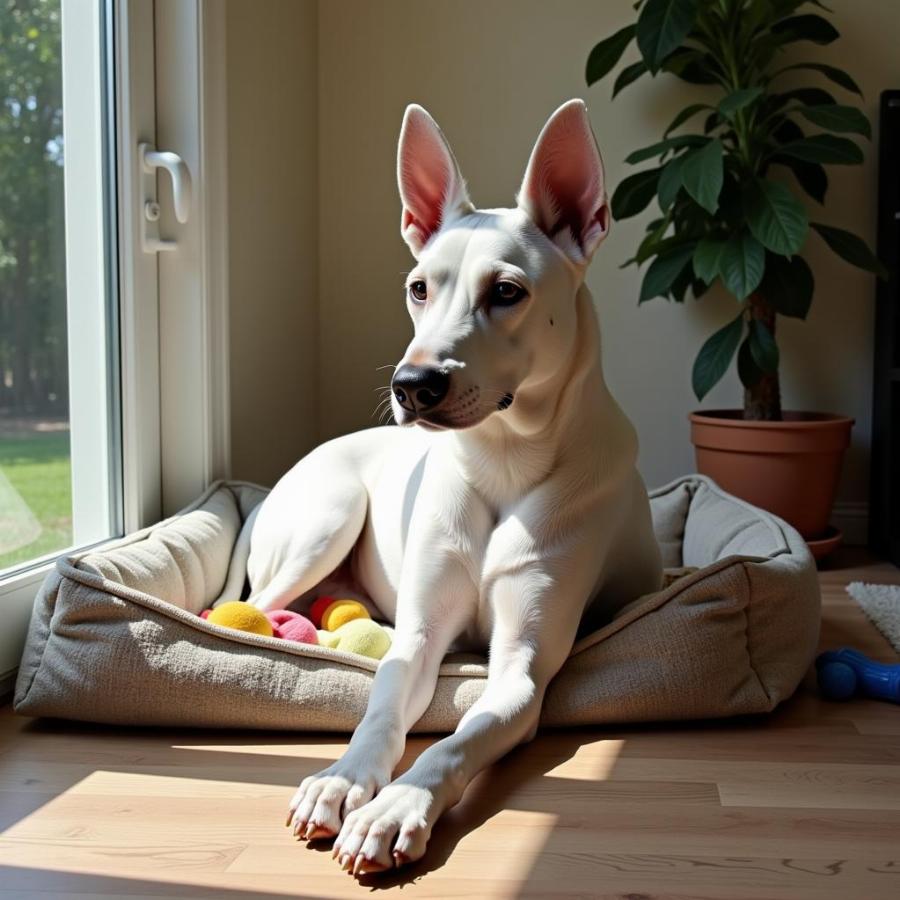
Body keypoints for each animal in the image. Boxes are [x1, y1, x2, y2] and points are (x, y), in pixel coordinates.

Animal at [229, 98, 664, 872]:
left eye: (507, 292)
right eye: (418, 288)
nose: (413, 385)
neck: (502, 460)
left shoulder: (521, 670)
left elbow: (456, 743)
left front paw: (395, 806)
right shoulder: (419, 636)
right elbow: (379, 712)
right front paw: (343, 780)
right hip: (327, 518)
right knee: (252, 605)